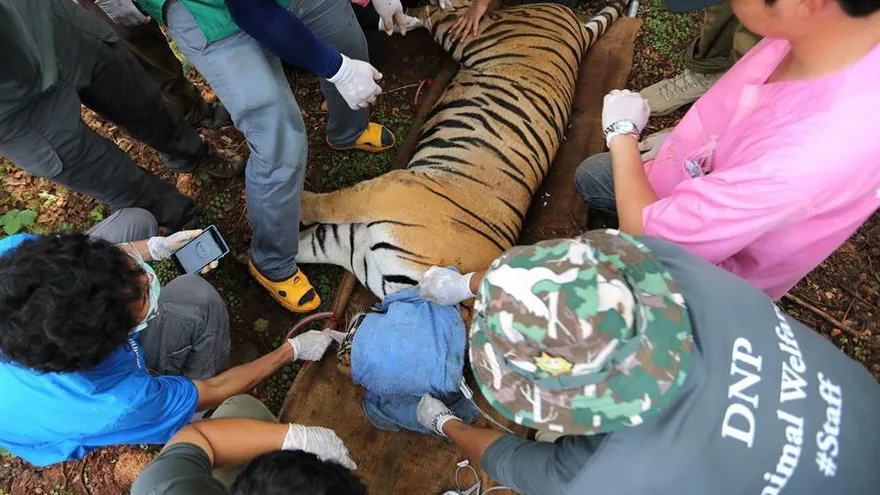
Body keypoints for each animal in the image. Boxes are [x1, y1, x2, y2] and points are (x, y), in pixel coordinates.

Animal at [297, 0, 626, 300]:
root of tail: (578, 29)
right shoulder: (391, 188)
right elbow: (328, 204)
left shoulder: (351, 239)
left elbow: (312, 231)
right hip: (470, 32)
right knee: (441, 10)